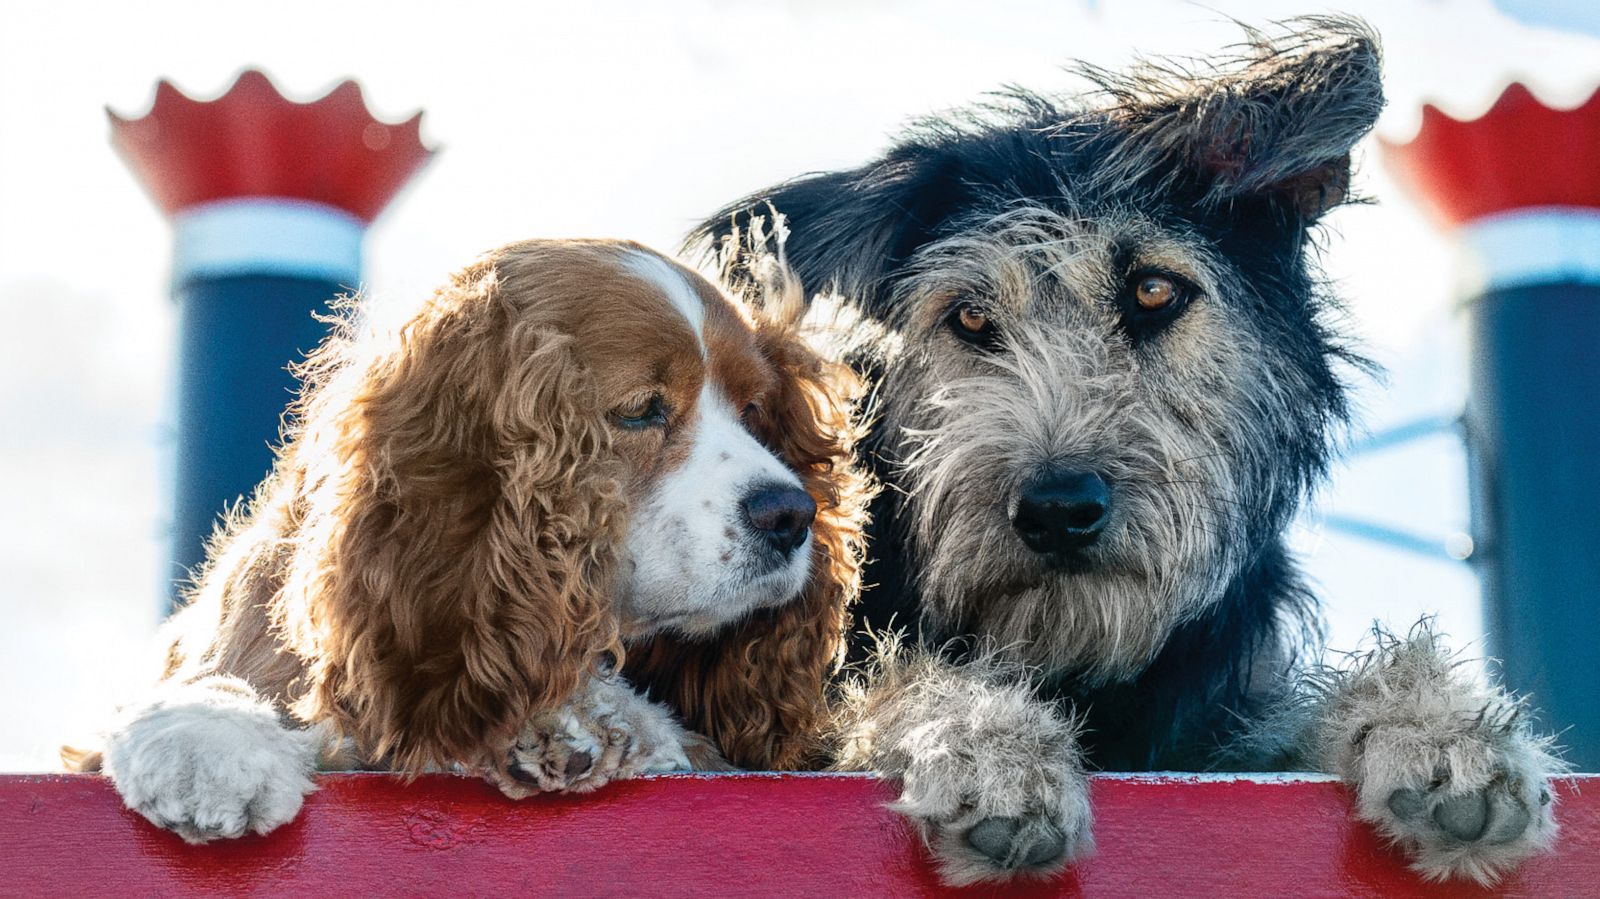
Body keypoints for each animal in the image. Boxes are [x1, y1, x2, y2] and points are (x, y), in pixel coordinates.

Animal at [65, 239, 864, 838]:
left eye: (755, 411)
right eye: (641, 410)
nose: (791, 514)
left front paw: (580, 723)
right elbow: (211, 679)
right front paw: (206, 737)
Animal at [697, 17, 1561, 883]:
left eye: (1154, 291)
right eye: (970, 317)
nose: (1058, 509)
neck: (1077, 662)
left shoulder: (1214, 728)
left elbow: (1288, 714)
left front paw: (1435, 725)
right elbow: (878, 685)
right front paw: (983, 740)